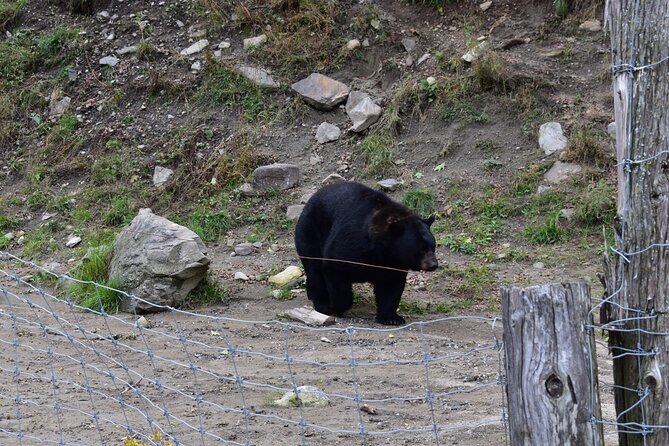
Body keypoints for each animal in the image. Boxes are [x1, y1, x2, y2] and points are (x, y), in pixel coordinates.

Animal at [294, 180, 436, 324]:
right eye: (422, 249)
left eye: (433, 247)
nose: (434, 264)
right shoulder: (352, 243)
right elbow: (335, 267)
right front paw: (337, 307)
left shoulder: (393, 263)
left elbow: (391, 285)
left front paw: (392, 318)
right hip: (310, 232)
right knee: (314, 268)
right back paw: (321, 303)